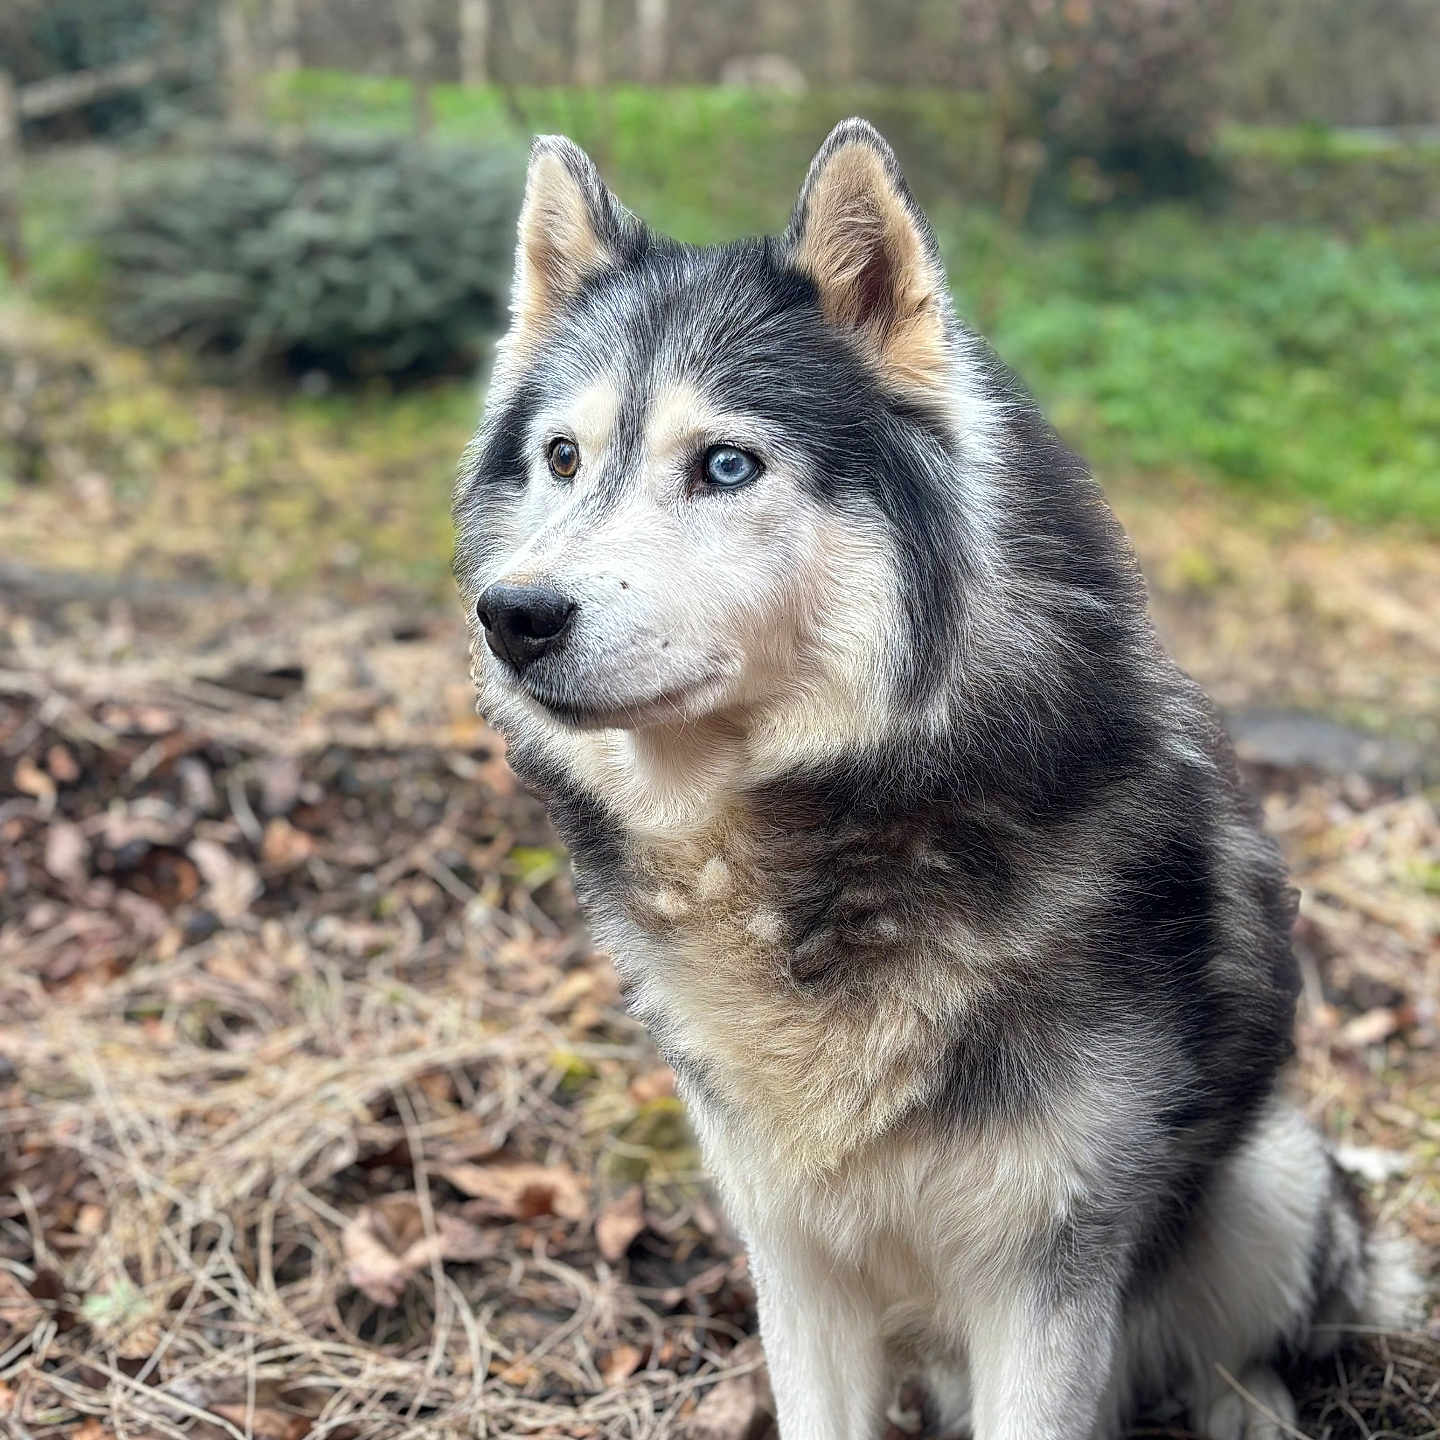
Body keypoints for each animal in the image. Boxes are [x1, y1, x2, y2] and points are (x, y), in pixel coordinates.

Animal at [452, 119, 1423, 1439]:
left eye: (724, 465)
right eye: (563, 457)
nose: (515, 616)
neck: (841, 838)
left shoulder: (1047, 1273)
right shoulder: (793, 1258)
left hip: (1268, 1179)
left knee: (1244, 1353)